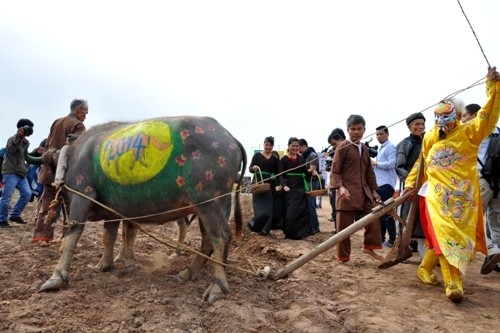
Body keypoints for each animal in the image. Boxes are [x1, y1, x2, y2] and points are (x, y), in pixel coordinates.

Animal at [40, 116, 247, 300]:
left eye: (48, 167)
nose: (45, 183)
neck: (75, 155)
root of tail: (229, 136)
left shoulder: (82, 195)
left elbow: (72, 236)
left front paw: (56, 278)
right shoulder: (113, 211)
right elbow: (110, 236)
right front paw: (104, 265)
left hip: (208, 202)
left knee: (220, 237)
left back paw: (216, 287)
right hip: (211, 205)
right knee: (207, 240)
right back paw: (187, 273)